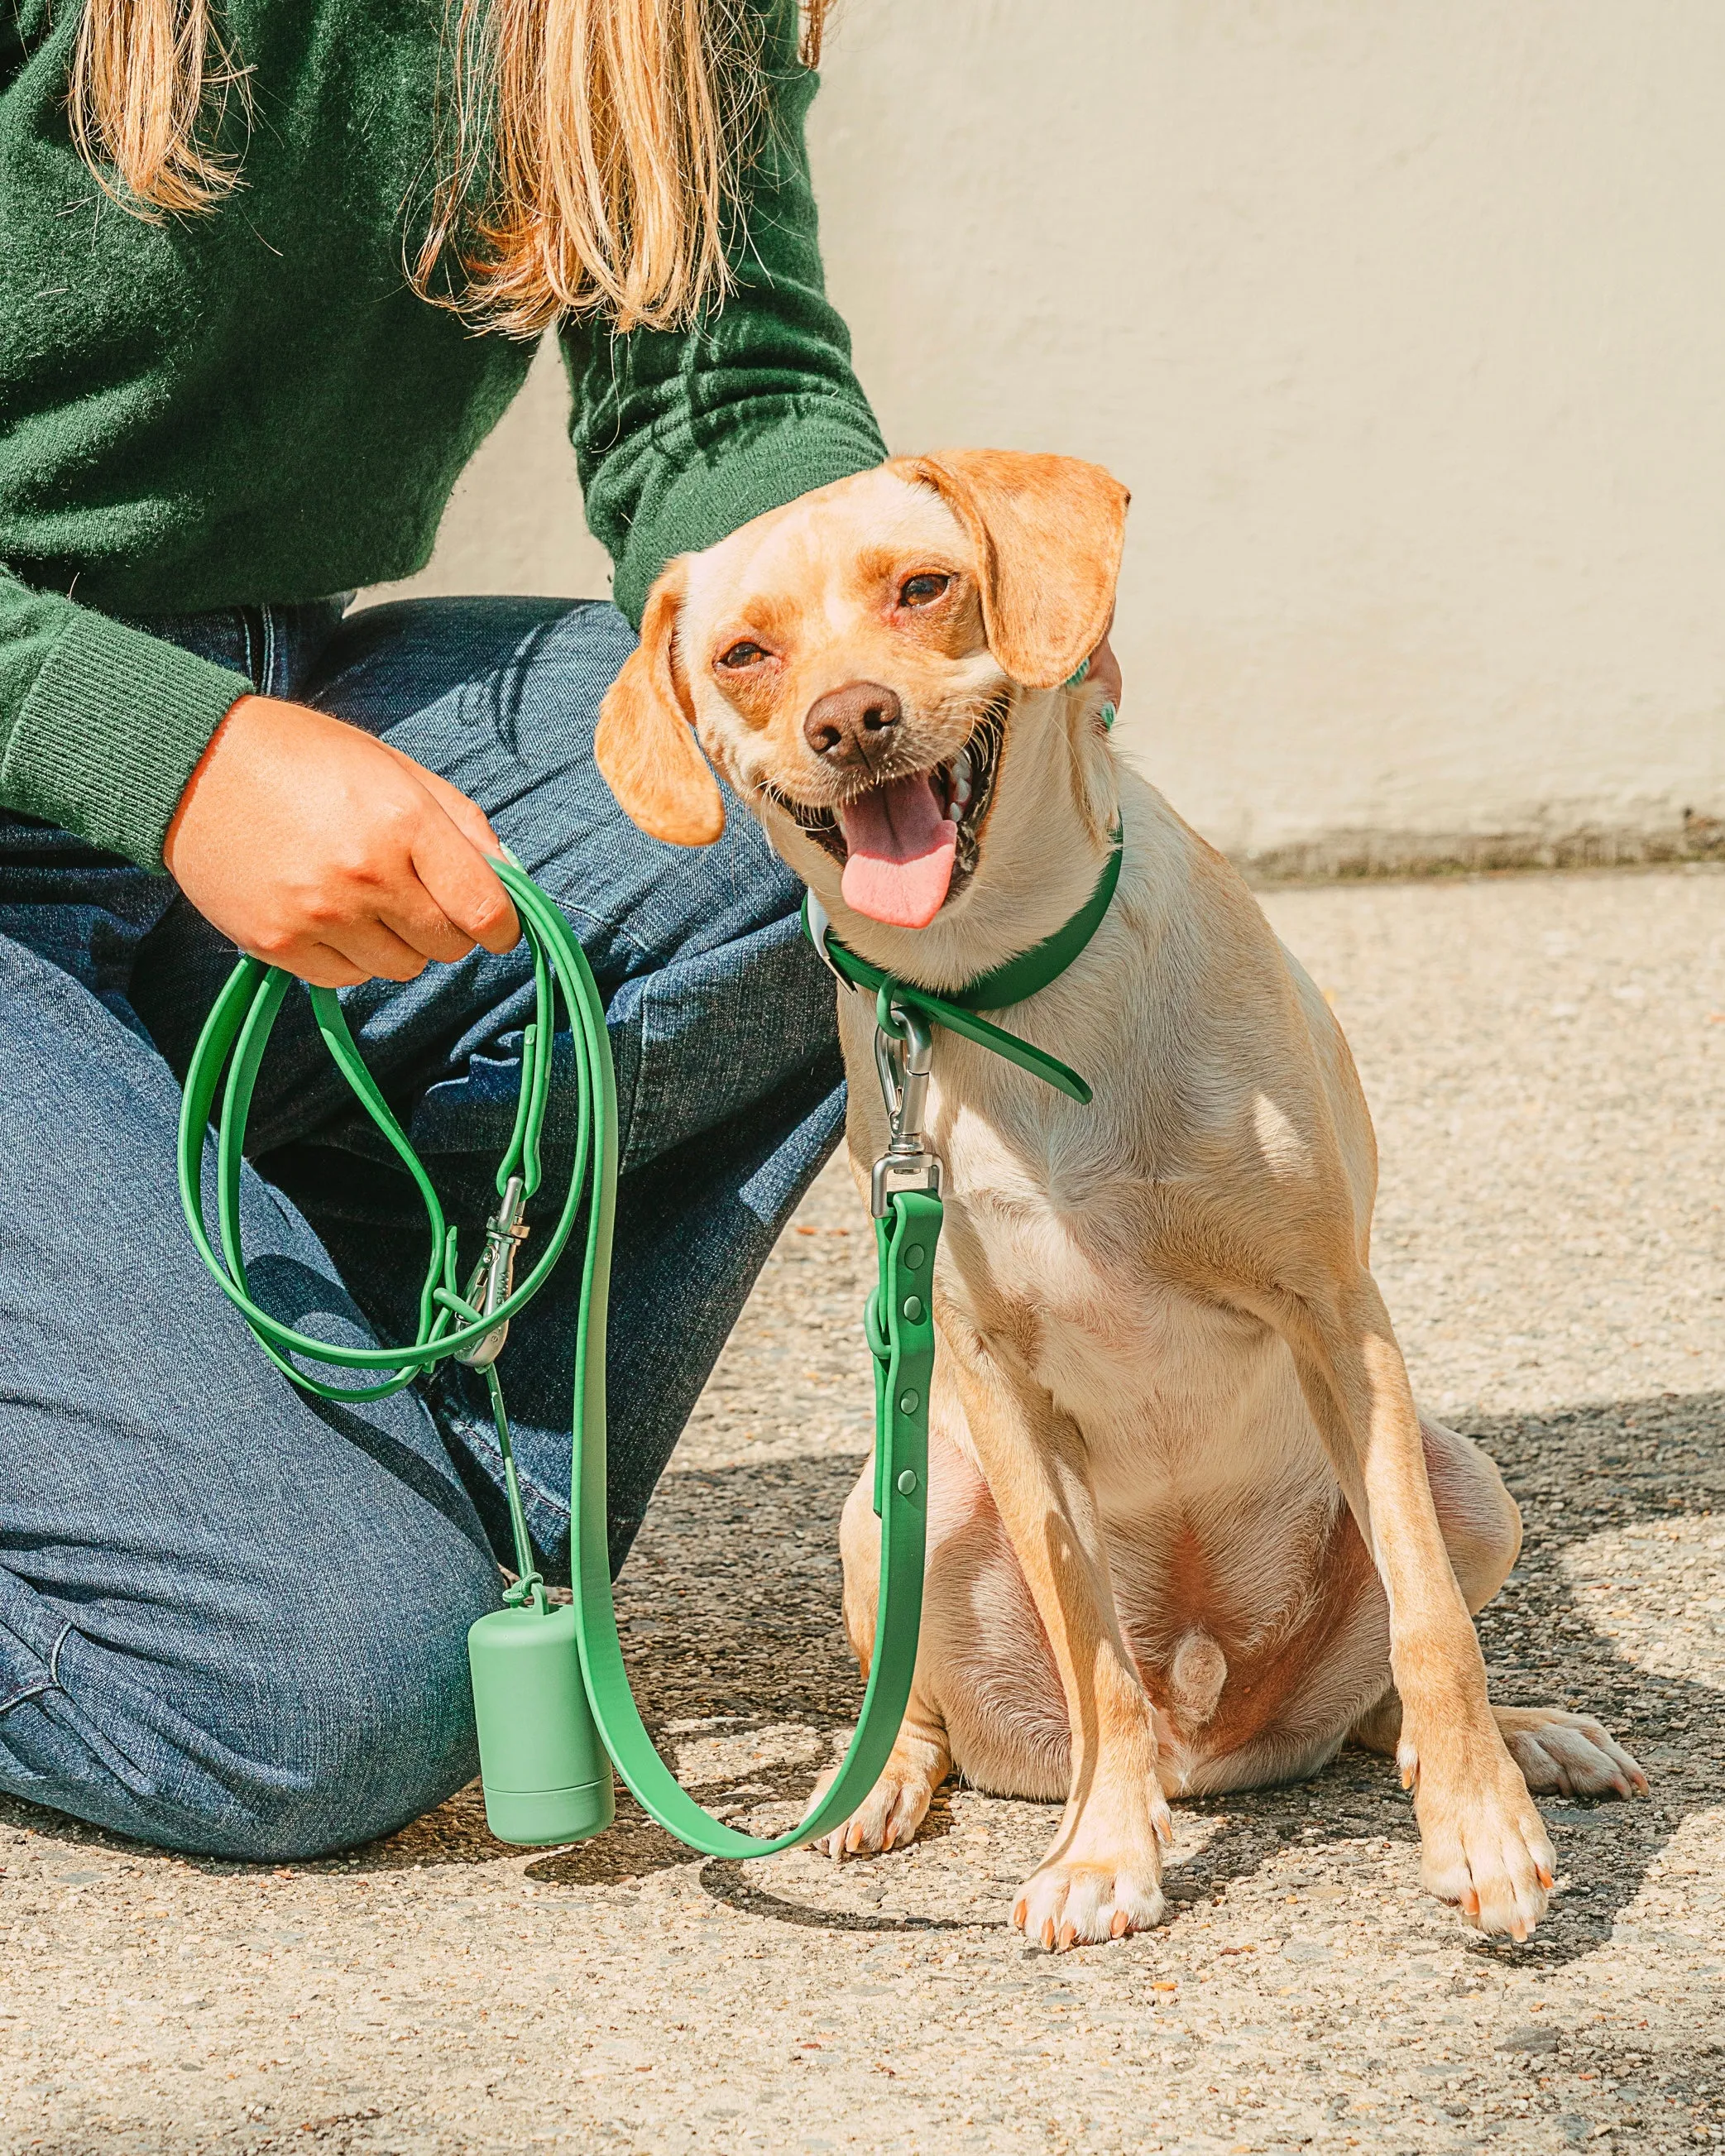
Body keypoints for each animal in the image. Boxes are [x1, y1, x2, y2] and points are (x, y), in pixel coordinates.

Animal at [595, 454, 1647, 1957]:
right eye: (746, 653)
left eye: (924, 585)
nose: (849, 722)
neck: (1008, 988)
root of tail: (1216, 1737)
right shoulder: (996, 1384)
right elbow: (1092, 1646)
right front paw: (1104, 1849)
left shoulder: (1338, 1319)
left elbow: (1431, 1620)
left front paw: (1481, 1825)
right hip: (888, 1514)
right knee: (933, 1709)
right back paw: (886, 1785)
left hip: (1470, 1479)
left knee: (1384, 1688)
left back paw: (1521, 1735)